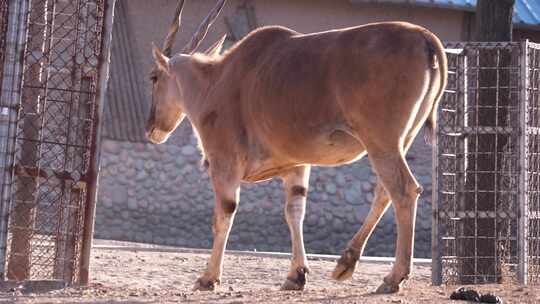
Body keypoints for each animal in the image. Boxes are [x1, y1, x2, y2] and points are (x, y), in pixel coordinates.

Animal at [144, 0, 448, 294]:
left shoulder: (224, 163)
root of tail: (426, 38)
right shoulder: (296, 166)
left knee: (405, 190)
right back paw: (345, 264)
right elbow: (295, 212)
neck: (217, 79)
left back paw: (393, 277)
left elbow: (224, 215)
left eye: (153, 77)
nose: (151, 128)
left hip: (381, 144)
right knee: (385, 192)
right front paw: (296, 275)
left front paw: (208, 279)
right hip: (398, 143)